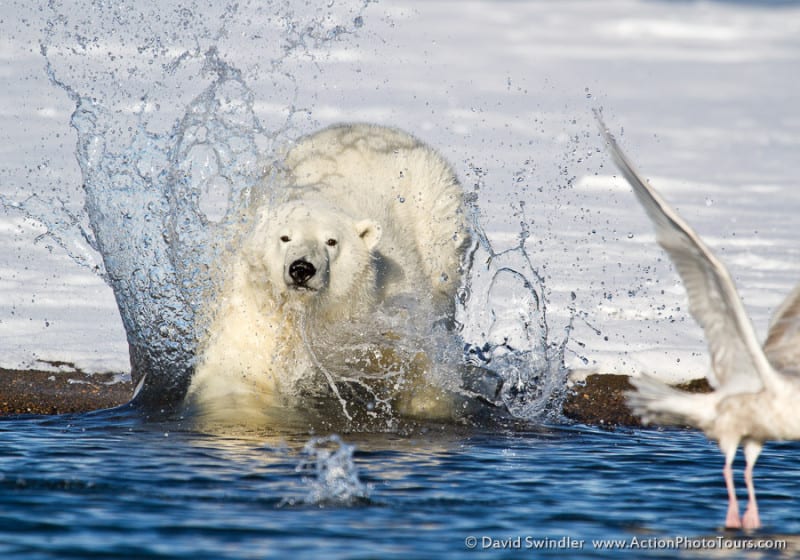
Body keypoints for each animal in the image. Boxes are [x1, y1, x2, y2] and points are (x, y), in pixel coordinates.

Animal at [184, 124, 472, 426]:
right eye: (285, 237)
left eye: (331, 241)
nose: (301, 269)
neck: (312, 316)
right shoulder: (258, 311)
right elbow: (237, 371)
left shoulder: (383, 309)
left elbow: (418, 356)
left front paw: (432, 404)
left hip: (437, 220)